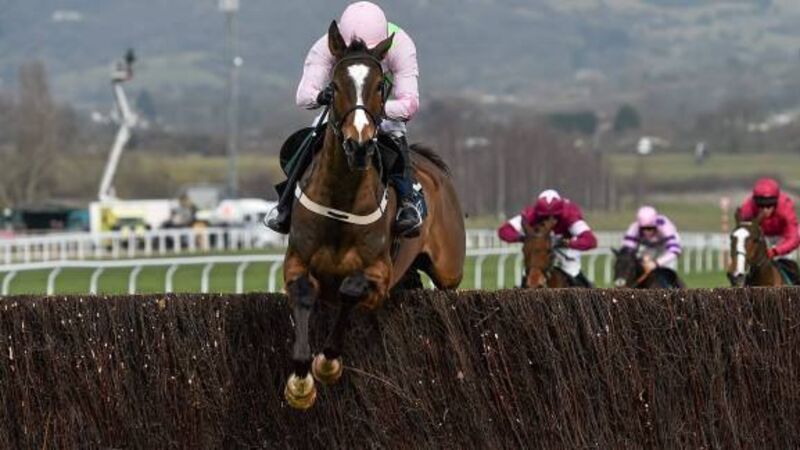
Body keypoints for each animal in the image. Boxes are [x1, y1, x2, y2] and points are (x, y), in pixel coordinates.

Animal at [282, 21, 465, 410]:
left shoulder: (380, 276)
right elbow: (304, 294)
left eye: (380, 85)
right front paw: (300, 383)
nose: (359, 144)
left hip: (449, 270)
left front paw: (327, 363)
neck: (342, 200)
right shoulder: (296, 262)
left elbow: (350, 289)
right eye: (334, 85)